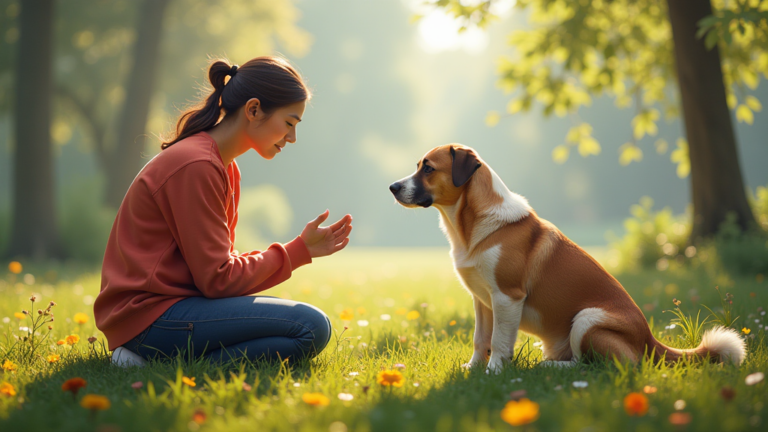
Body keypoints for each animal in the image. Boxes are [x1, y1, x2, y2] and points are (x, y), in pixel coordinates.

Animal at [390, 144, 744, 372]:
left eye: (428, 168)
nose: (392, 187)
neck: (474, 226)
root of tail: (651, 340)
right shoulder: (482, 300)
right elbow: (481, 339)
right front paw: (473, 369)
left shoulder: (506, 298)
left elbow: (500, 343)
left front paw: (493, 374)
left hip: (587, 320)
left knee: (598, 365)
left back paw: (550, 369)